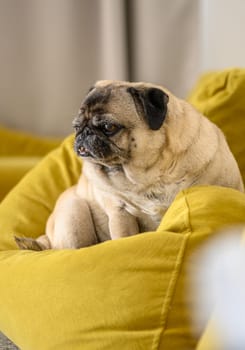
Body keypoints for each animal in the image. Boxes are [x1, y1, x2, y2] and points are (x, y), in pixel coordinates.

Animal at [14, 80, 244, 249]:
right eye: (76, 126)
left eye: (108, 127)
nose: (83, 133)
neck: (149, 174)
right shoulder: (120, 213)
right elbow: (125, 237)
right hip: (74, 216)